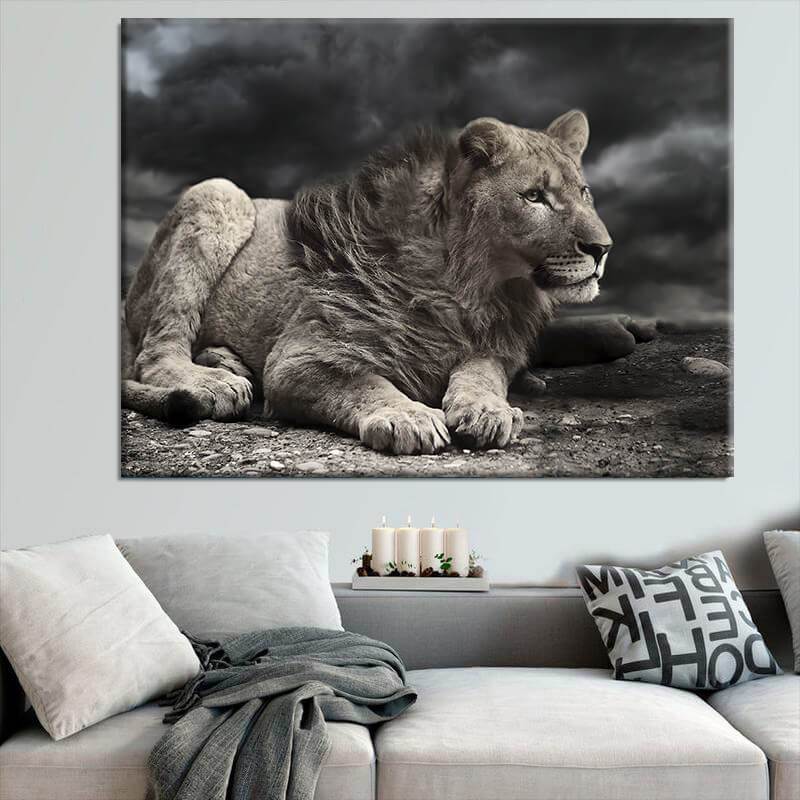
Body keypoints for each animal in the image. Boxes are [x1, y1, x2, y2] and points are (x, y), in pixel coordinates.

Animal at [122, 110, 612, 454]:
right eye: (534, 197)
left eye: (584, 193)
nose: (602, 249)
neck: (473, 288)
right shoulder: (297, 358)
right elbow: (364, 383)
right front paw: (407, 417)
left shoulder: (490, 342)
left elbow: (483, 371)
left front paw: (487, 408)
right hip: (219, 194)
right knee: (154, 353)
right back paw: (214, 382)